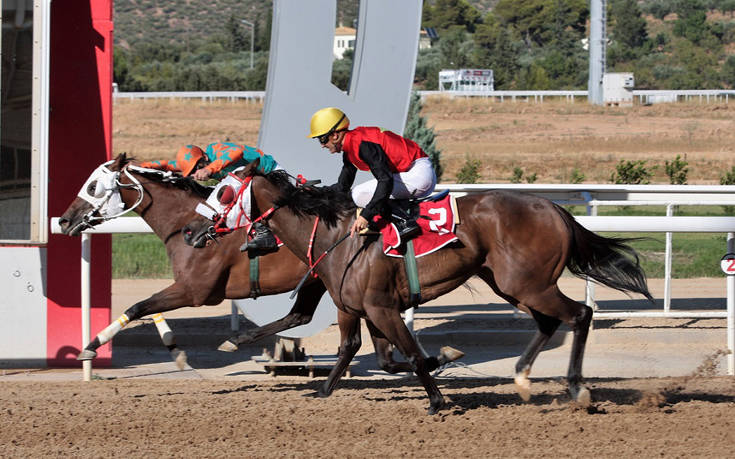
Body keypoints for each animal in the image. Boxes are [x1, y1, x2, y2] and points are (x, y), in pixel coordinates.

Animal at [59, 155, 460, 378]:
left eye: (94, 186)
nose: (64, 221)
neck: (186, 222)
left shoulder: (194, 290)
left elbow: (138, 305)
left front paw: (91, 348)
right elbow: (143, 307)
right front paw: (174, 349)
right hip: (318, 280)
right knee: (300, 316)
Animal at [184, 162, 656, 416]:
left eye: (223, 191)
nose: (191, 230)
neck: (339, 236)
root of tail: (555, 209)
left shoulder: (382, 308)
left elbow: (407, 355)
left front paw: (437, 398)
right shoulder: (361, 308)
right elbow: (365, 353)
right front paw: (323, 390)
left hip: (528, 282)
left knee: (580, 314)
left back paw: (577, 389)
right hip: (513, 284)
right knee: (548, 322)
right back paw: (522, 379)